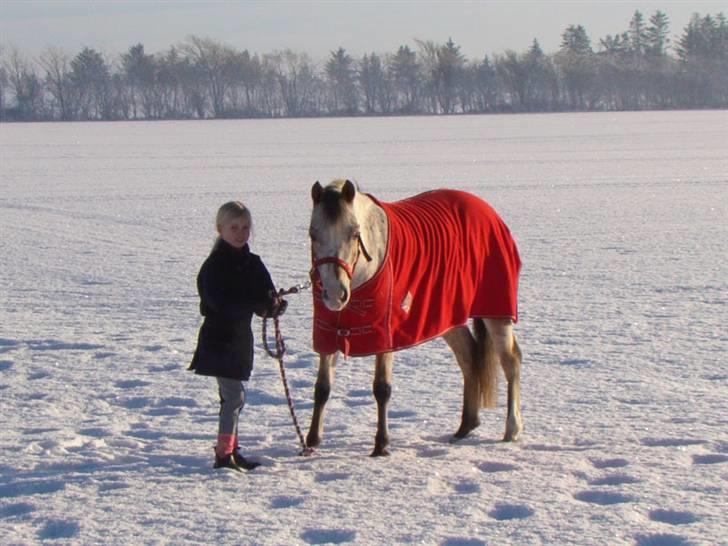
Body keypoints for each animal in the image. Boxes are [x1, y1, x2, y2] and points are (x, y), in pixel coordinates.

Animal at [306, 180, 524, 454]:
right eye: (313, 234)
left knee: (511, 361)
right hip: (448, 317)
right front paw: (311, 441)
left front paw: (381, 445)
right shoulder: (328, 330)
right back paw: (465, 426)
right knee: (469, 357)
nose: (335, 294)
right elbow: (322, 388)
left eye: (355, 234)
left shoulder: (385, 332)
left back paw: (511, 429)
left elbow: (382, 388)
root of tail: (487, 210)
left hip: (496, 312)